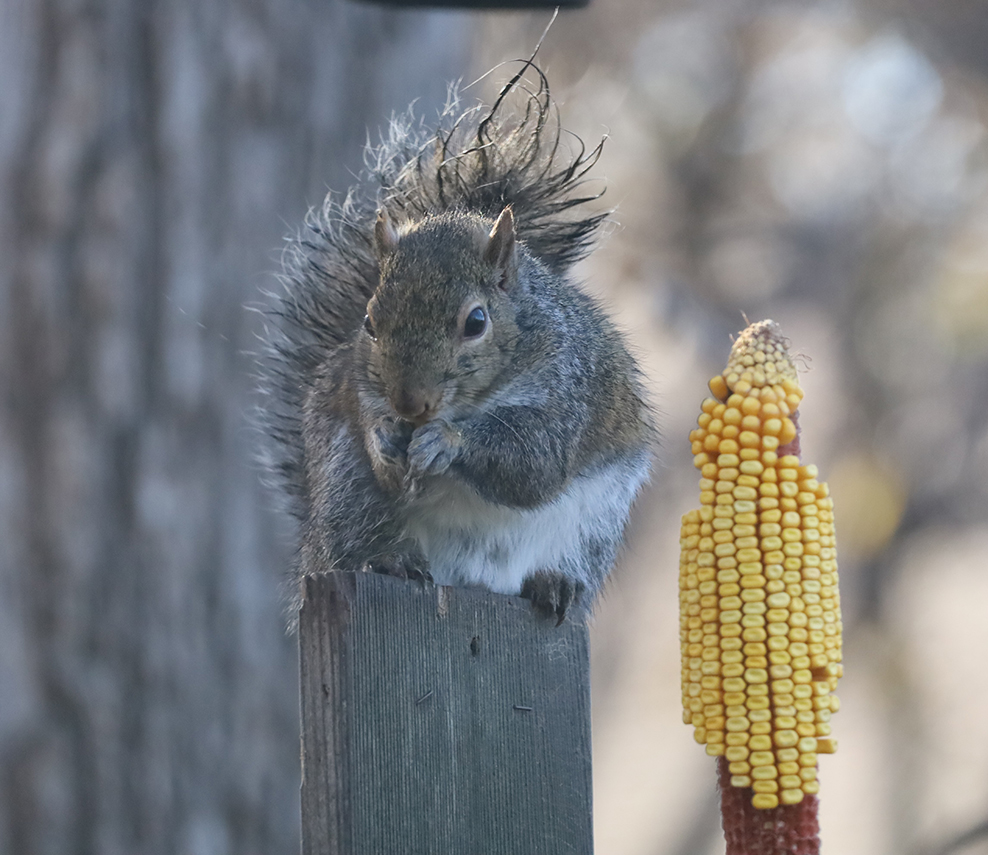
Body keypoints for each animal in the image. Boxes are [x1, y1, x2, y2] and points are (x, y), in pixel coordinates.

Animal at [258, 61, 652, 620]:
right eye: (369, 322)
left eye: (476, 322)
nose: (409, 404)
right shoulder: (359, 391)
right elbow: (375, 433)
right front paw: (384, 440)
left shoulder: (568, 390)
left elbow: (535, 461)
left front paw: (447, 440)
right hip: (344, 487)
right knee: (358, 540)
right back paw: (392, 560)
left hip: (593, 528)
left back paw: (554, 584)